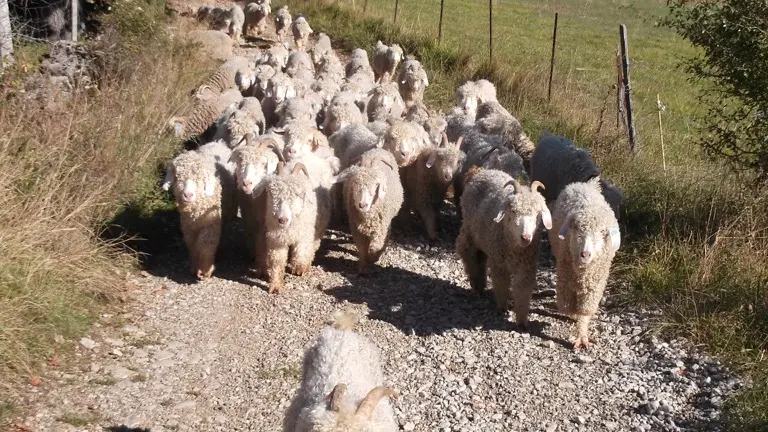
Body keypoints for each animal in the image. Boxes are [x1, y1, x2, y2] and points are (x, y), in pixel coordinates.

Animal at [160, 140, 236, 278]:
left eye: (200, 178)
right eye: (177, 177)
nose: (188, 195)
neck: (196, 214)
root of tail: (217, 142)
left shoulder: (211, 224)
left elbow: (206, 244)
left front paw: (206, 270)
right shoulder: (188, 228)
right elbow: (192, 246)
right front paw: (195, 267)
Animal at [456, 167, 552, 326]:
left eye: (538, 213)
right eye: (513, 211)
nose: (526, 237)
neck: (515, 250)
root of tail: (483, 171)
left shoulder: (527, 267)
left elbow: (523, 290)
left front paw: (521, 320)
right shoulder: (499, 264)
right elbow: (501, 283)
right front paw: (502, 307)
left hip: (484, 237)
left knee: (480, 257)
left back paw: (481, 283)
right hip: (469, 229)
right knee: (466, 250)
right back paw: (475, 283)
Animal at [548, 177, 620, 350]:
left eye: (602, 232)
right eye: (576, 228)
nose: (585, 254)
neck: (583, 272)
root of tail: (586, 184)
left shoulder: (594, 286)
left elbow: (585, 311)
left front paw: (582, 335)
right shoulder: (565, 280)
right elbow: (566, 306)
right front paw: (574, 315)